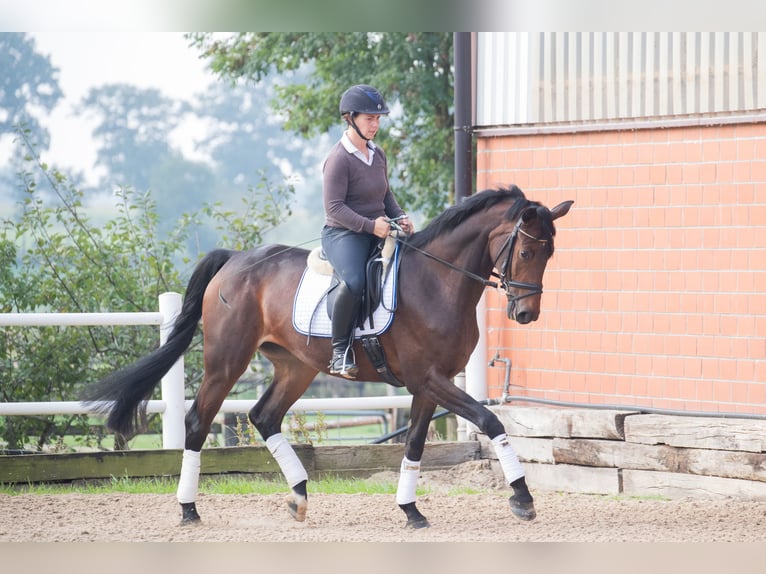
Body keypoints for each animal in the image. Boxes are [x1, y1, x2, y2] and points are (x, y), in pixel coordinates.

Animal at [85, 186, 576, 532]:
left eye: (550, 253)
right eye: (527, 251)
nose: (526, 314)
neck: (438, 282)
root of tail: (235, 260)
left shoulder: (427, 385)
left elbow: (415, 445)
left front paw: (411, 511)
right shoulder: (430, 379)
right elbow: (490, 421)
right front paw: (522, 499)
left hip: (296, 366)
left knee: (264, 416)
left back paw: (299, 496)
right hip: (227, 362)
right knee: (197, 421)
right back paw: (188, 508)